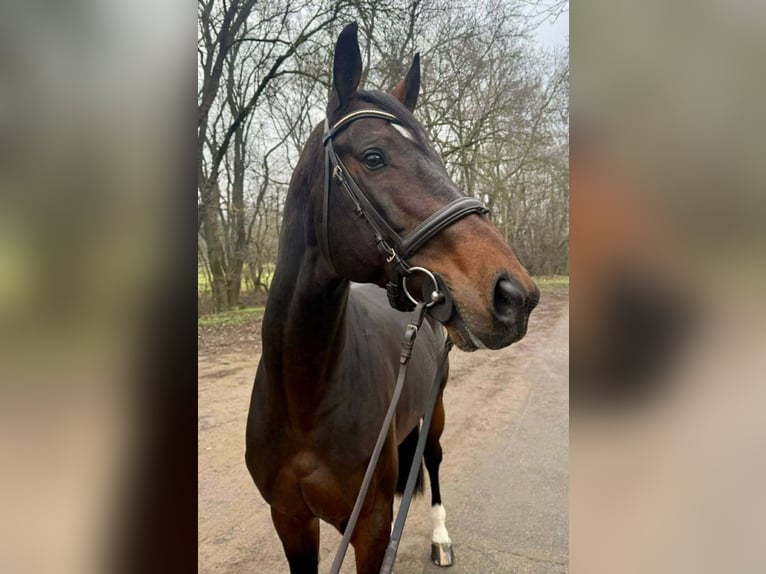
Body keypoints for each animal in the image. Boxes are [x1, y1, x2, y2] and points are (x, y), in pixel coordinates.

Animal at [245, 22, 539, 574]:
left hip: (434, 411)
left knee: (433, 460)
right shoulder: (290, 520)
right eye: (374, 157)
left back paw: (441, 538)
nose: (515, 294)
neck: (305, 396)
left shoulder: (371, 525)